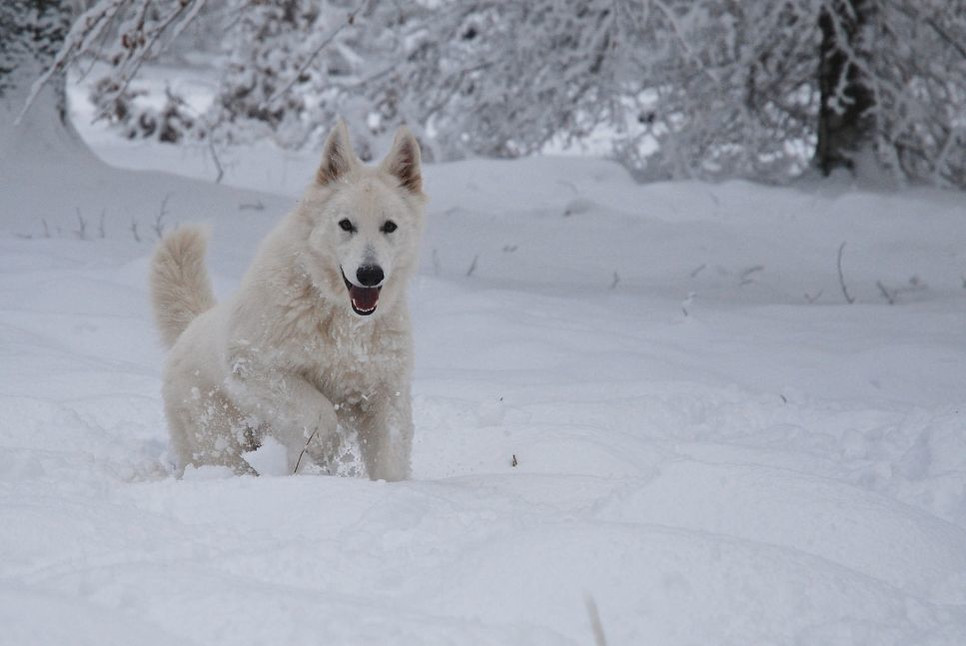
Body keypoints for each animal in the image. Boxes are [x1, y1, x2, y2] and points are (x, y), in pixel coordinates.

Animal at [150, 123, 424, 480]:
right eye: (345, 224)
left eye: (389, 226)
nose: (369, 274)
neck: (340, 318)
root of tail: (192, 325)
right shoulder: (257, 366)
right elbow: (320, 415)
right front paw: (319, 460)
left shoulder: (385, 393)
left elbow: (389, 459)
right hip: (220, 442)